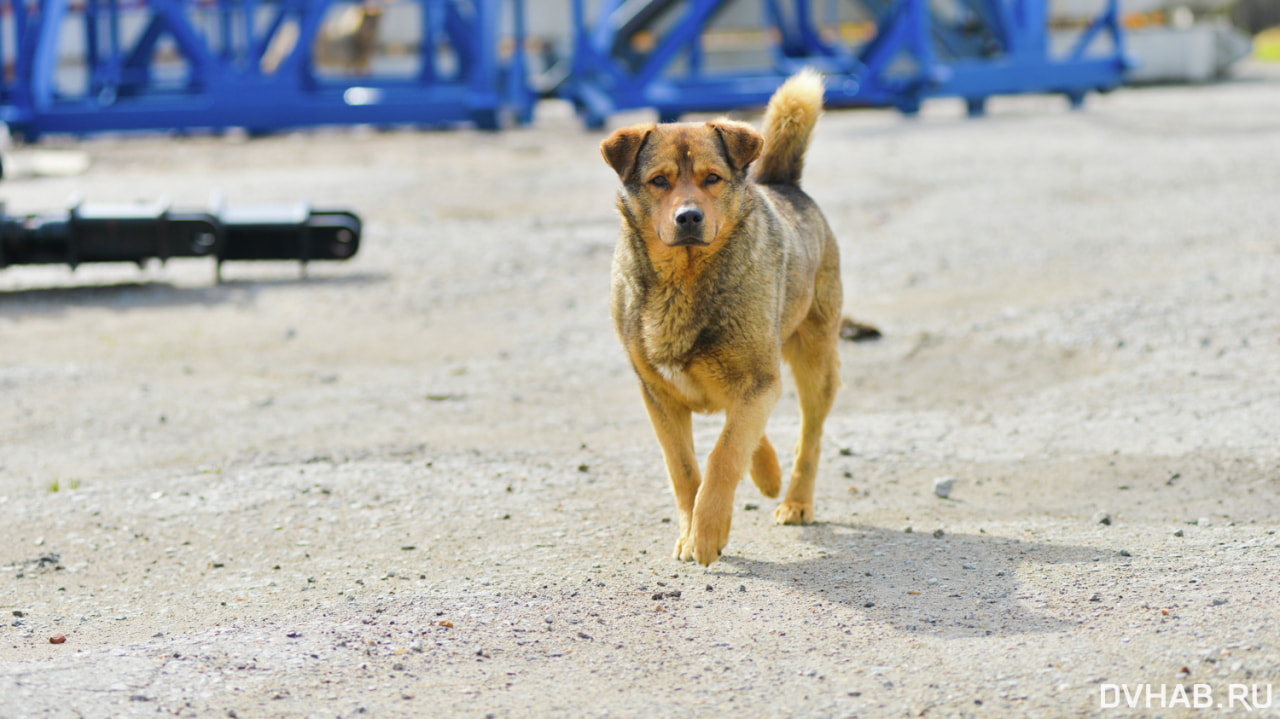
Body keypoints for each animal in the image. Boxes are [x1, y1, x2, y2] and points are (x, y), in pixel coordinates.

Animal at [604, 72, 844, 565]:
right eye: (659, 181)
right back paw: (768, 472)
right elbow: (683, 467)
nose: (689, 216)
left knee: (808, 436)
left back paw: (795, 500)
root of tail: (783, 184)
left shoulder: (757, 379)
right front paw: (690, 531)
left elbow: (724, 454)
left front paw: (708, 530)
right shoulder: (659, 395)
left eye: (711, 178)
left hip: (815, 363)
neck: (684, 280)